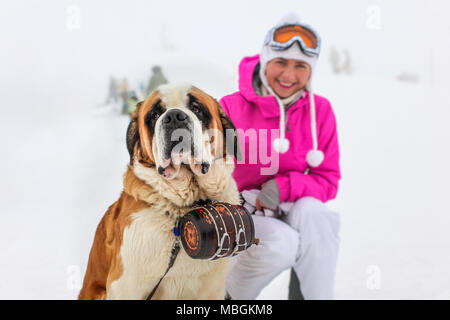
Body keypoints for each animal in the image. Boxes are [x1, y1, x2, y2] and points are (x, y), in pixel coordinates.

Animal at [81, 84, 243, 298]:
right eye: (155, 114)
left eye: (196, 108)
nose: (174, 116)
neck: (186, 207)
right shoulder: (124, 286)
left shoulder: (213, 288)